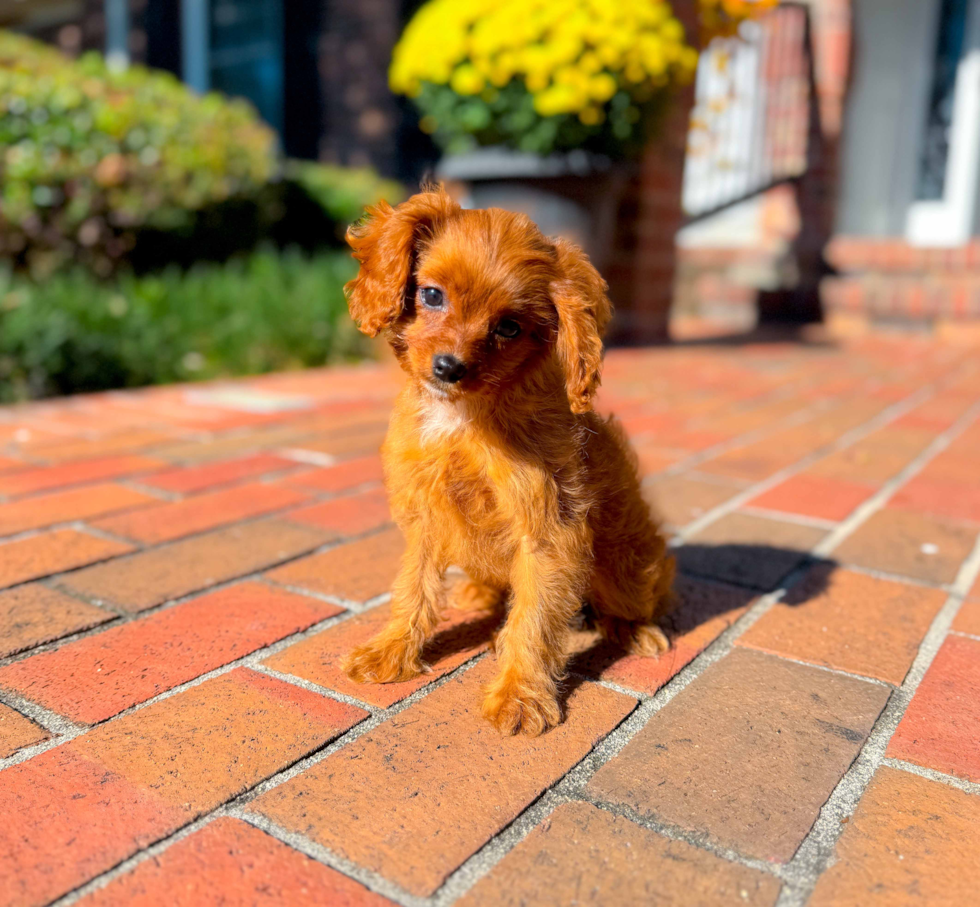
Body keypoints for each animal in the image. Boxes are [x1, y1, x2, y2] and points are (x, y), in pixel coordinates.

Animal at [338, 188, 672, 736]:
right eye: (432, 295)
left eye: (509, 327)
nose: (448, 367)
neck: (463, 417)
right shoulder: (424, 516)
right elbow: (412, 588)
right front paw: (391, 650)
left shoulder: (548, 530)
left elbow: (533, 621)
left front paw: (520, 694)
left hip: (626, 564)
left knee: (633, 597)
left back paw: (634, 630)